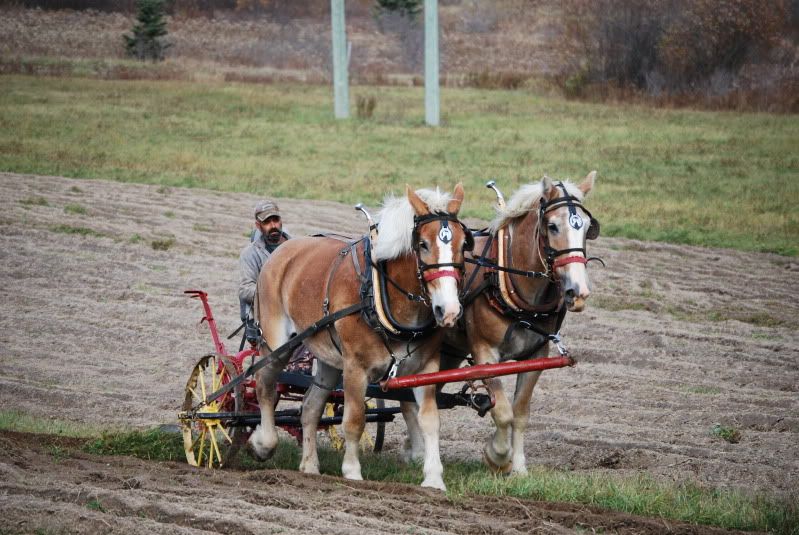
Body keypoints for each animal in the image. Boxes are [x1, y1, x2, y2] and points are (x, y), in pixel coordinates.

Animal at [248, 184, 472, 490]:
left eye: (463, 245)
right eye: (423, 244)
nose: (448, 310)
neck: (378, 294)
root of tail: (283, 250)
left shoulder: (426, 367)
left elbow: (429, 420)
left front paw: (434, 478)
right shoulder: (355, 368)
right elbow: (354, 420)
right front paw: (352, 471)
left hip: (329, 359)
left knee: (310, 406)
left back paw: (309, 465)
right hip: (276, 344)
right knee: (265, 388)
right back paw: (263, 443)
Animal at [401, 172, 599, 474]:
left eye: (587, 228)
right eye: (552, 226)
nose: (578, 292)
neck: (506, 278)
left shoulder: (536, 356)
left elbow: (520, 413)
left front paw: (518, 469)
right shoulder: (485, 355)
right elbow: (503, 412)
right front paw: (496, 456)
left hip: (448, 352)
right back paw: (417, 452)